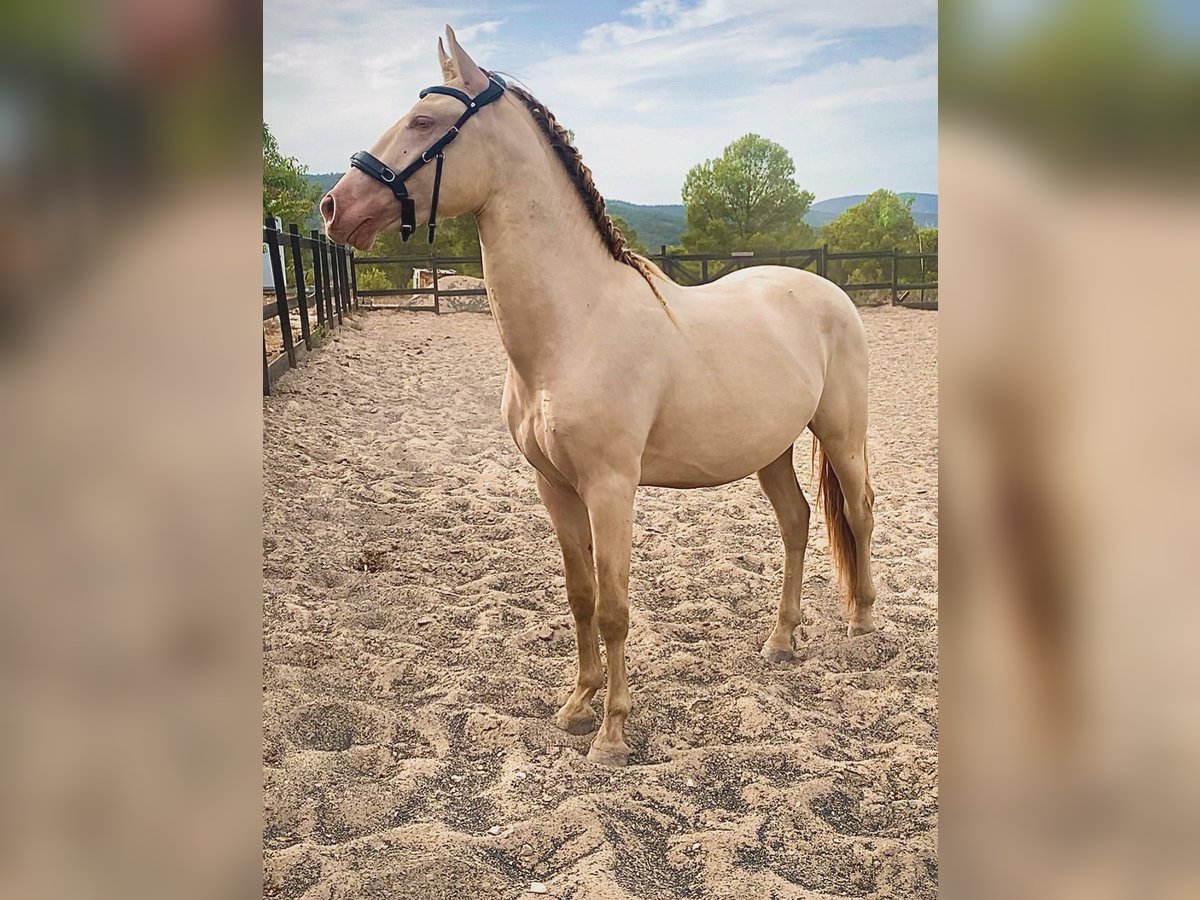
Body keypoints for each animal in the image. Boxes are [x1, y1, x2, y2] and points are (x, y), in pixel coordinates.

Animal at [323, 27, 877, 766]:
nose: (335, 207)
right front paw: (577, 707)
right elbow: (581, 595)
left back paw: (862, 625)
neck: (573, 327)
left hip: (841, 432)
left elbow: (615, 607)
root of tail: (828, 292)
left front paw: (613, 734)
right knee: (797, 522)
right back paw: (780, 641)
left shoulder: (611, 487)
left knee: (861, 514)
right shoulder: (556, 487)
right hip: (771, 450)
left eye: (423, 122)